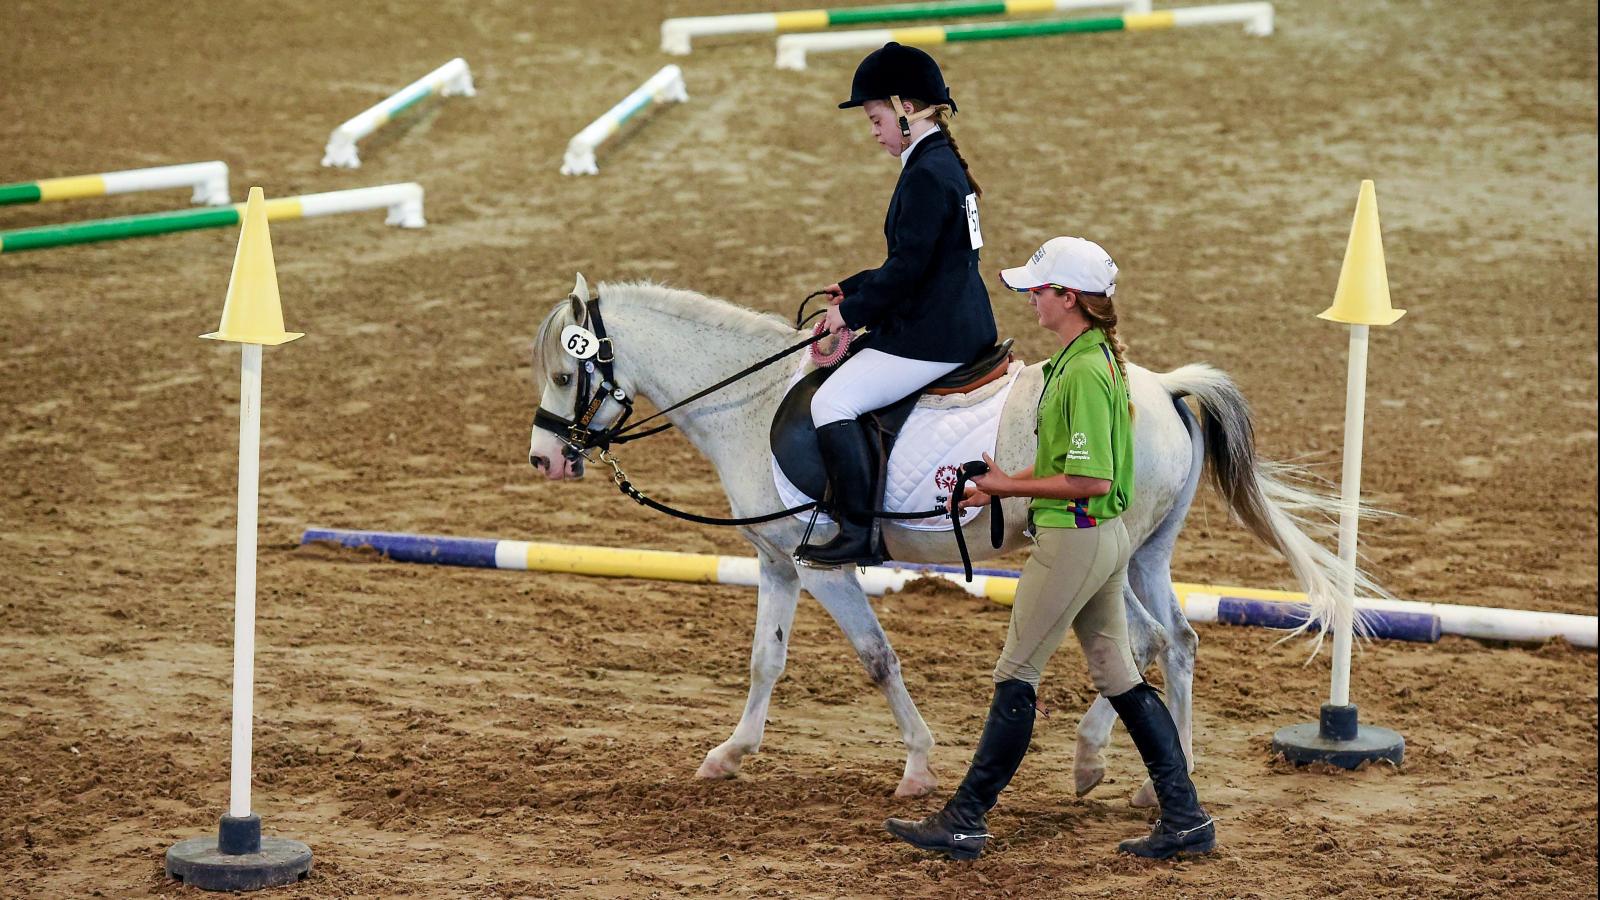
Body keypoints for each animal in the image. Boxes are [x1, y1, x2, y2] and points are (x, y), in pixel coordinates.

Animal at [524, 275, 1350, 797]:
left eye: (566, 374)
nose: (544, 460)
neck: (748, 403)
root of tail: (1164, 387)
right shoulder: (778, 564)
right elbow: (766, 661)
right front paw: (731, 754)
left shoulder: (821, 568)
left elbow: (876, 658)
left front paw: (918, 768)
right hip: (1145, 554)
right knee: (1174, 640)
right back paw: (1157, 778)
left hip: (1108, 556)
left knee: (1146, 643)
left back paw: (1102, 765)